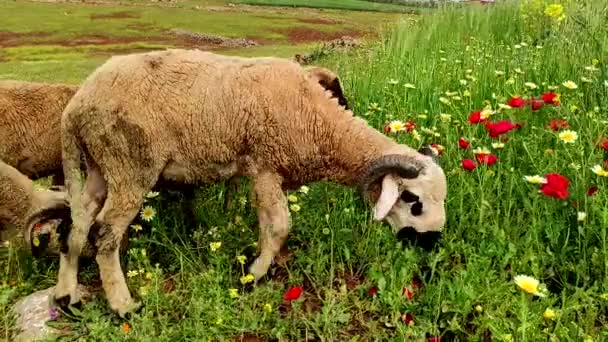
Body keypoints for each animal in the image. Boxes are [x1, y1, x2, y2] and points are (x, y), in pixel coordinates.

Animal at [39, 49, 446, 316]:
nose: (432, 242)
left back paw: (67, 295)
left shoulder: (263, 172)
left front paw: (266, 265)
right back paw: (123, 305)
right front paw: (254, 274)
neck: (323, 126)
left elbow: (267, 224)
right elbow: (279, 225)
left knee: (76, 223)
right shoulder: (265, 165)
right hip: (130, 164)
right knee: (105, 232)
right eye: (412, 200)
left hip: (99, 164)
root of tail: (75, 107)